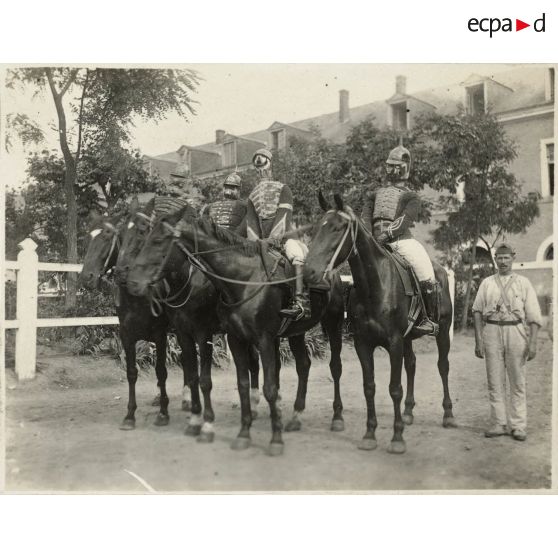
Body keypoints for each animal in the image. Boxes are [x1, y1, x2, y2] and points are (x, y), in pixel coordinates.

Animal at [114, 199, 262, 444]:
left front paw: (201, 424)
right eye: (120, 233)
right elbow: (143, 373)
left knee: (254, 362)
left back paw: (255, 403)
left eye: (144, 232)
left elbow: (199, 379)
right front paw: (130, 416)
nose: (124, 276)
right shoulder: (140, 335)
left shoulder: (195, 334)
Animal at [128, 208, 346, 458]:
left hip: (334, 324)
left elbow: (238, 384)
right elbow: (227, 382)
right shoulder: (219, 338)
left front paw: (273, 439)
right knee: (303, 365)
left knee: (335, 367)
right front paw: (233, 432)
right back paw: (295, 417)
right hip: (296, 333)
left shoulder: (223, 336)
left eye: (158, 241)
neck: (243, 280)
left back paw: (336, 417)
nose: (133, 283)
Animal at [304, 195, 458, 458]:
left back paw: (448, 415)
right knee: (412, 365)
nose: (310, 272)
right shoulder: (363, 344)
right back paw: (408, 412)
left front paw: (397, 439)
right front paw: (369, 434)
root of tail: (441, 271)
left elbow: (394, 388)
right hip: (408, 339)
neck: (375, 286)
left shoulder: (394, 343)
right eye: (316, 228)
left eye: (338, 228)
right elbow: (369, 387)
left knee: (443, 366)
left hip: (442, 332)